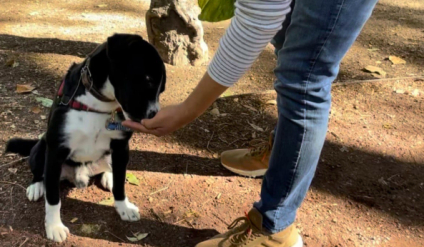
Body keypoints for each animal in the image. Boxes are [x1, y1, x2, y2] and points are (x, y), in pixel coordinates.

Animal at [5, 33, 167, 242]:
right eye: (147, 80)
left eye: (161, 89)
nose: (155, 115)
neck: (98, 105)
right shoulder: (56, 151)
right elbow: (53, 198)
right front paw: (54, 226)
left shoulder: (121, 147)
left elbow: (120, 184)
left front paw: (123, 207)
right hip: (41, 147)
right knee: (40, 173)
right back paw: (36, 186)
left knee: (110, 169)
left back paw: (108, 176)